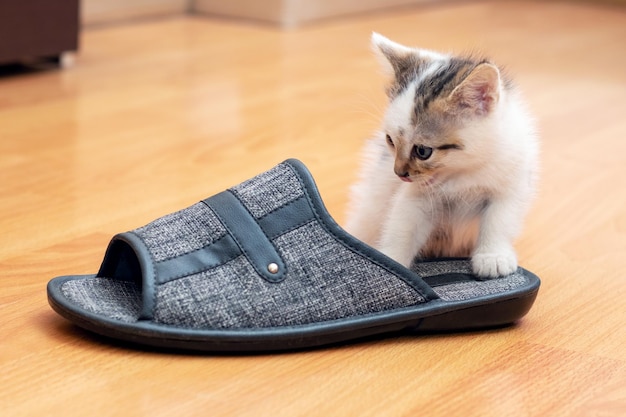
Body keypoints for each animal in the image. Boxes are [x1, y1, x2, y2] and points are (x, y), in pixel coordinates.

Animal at [344, 34, 540, 278]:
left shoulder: (512, 183)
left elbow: (500, 220)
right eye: (390, 140)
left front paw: (493, 256)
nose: (399, 173)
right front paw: (390, 262)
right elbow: (403, 225)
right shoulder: (416, 196)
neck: (465, 174)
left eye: (423, 151)